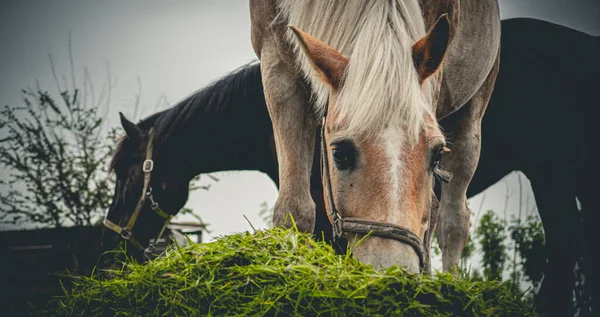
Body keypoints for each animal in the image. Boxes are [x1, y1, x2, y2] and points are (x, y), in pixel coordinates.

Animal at [248, 0, 502, 272]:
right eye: (340, 154)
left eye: (436, 155)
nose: (393, 268)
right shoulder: (278, 66)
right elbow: (294, 210)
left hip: (472, 113)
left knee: (452, 222)